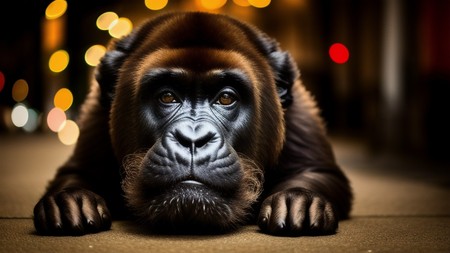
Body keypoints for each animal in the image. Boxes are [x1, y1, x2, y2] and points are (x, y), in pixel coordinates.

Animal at [33, 11, 354, 237]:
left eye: (226, 98)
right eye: (167, 96)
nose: (192, 138)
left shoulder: (300, 116)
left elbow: (317, 172)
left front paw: (299, 202)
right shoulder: (96, 117)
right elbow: (76, 173)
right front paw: (70, 202)